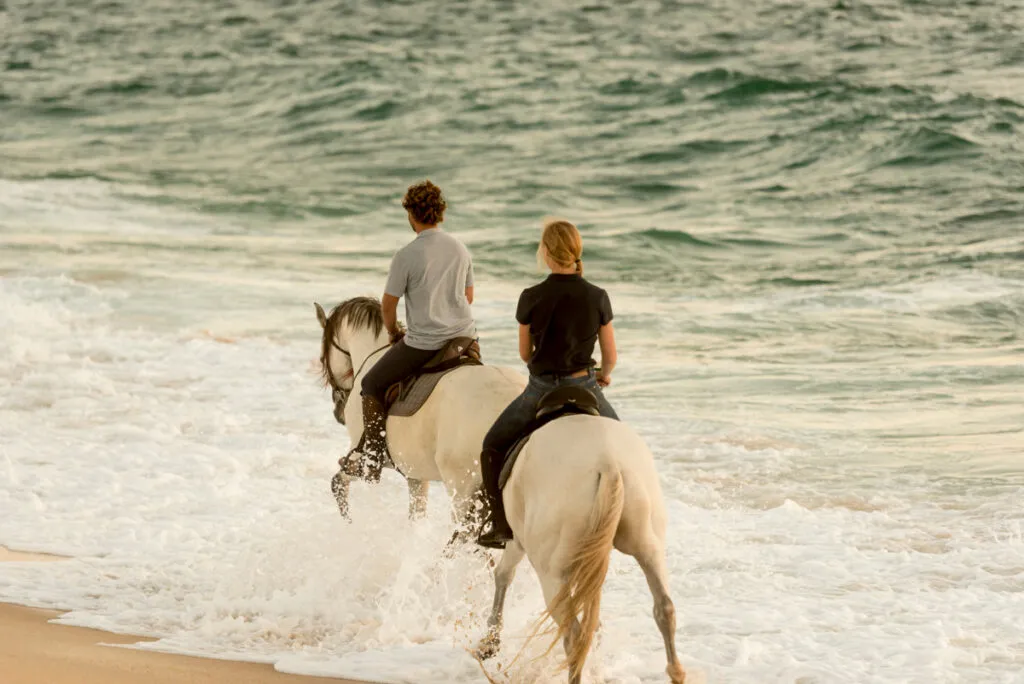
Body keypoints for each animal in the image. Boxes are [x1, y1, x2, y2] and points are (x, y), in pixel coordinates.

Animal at [315, 297, 526, 536]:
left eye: (322, 358)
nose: (338, 412)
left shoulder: (360, 457)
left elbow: (338, 484)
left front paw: (350, 525)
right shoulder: (416, 474)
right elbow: (416, 516)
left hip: (463, 489)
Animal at [475, 414, 686, 684]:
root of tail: (608, 463)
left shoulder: (517, 541)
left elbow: (503, 575)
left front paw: (490, 641)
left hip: (552, 576)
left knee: (573, 636)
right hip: (649, 548)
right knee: (665, 608)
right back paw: (675, 671)